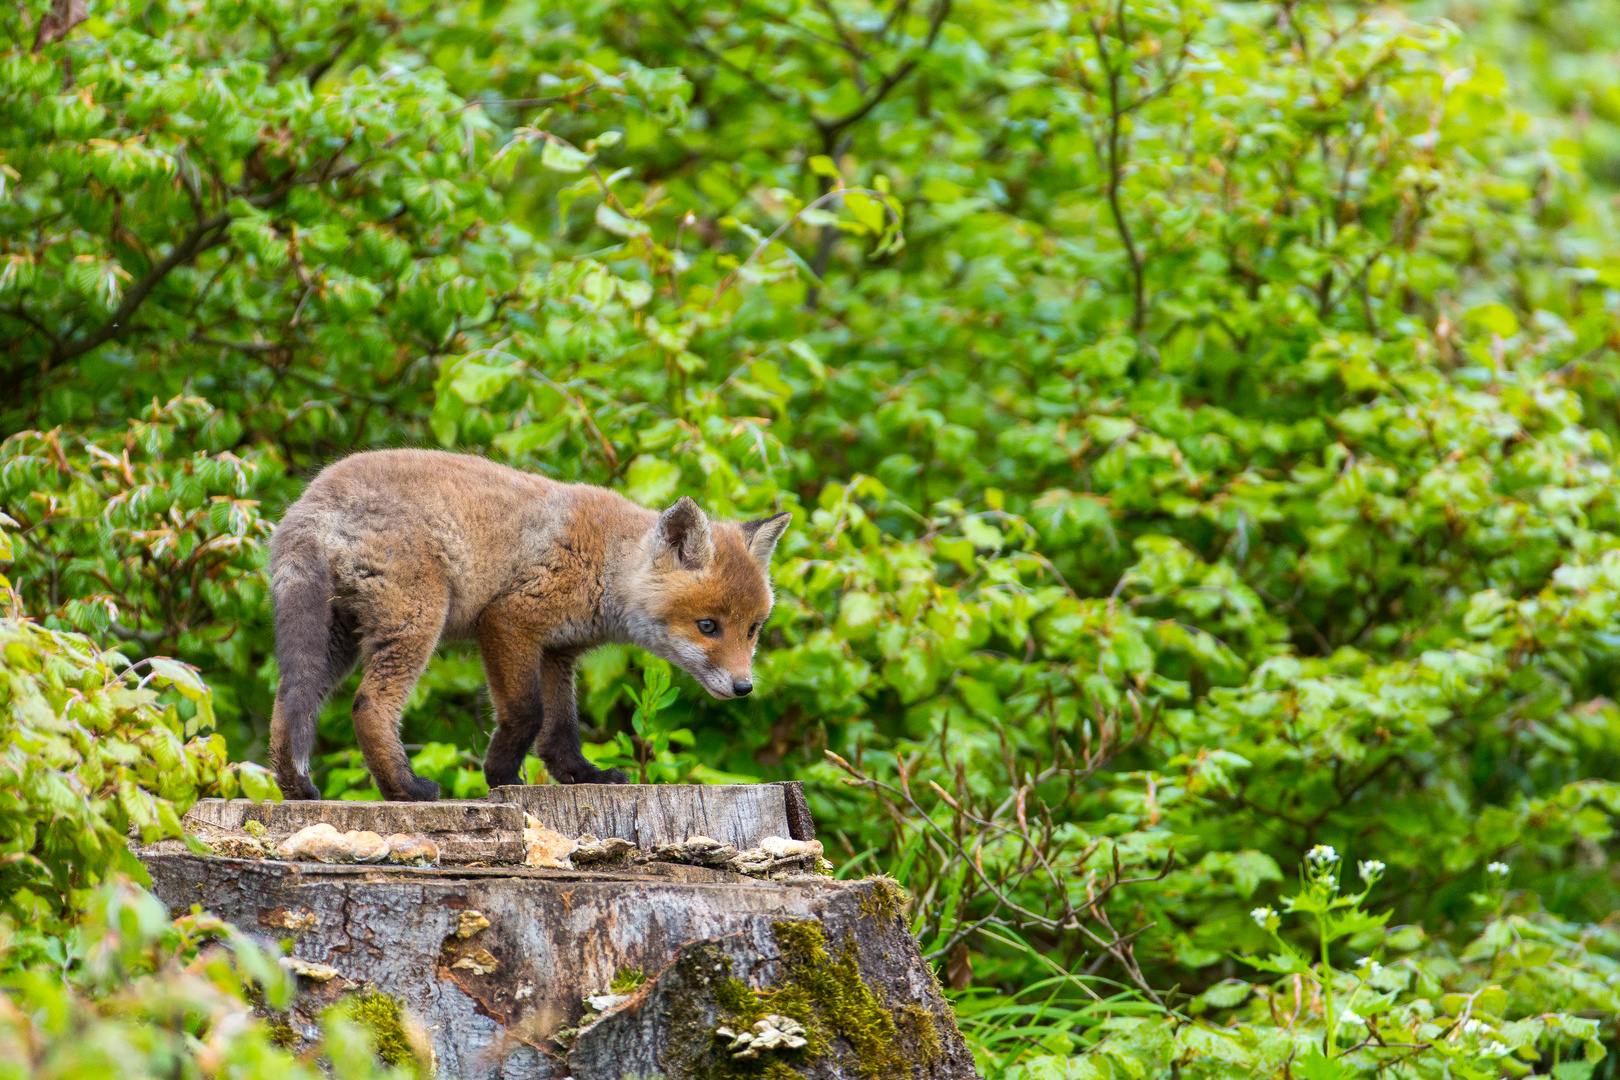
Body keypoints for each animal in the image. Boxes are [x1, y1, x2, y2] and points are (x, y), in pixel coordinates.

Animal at [268, 450, 787, 803]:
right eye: (708, 626)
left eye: (753, 630)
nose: (744, 687)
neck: (606, 566)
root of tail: (312, 501)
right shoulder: (508, 622)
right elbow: (527, 713)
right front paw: (500, 776)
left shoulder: (557, 650)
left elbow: (560, 730)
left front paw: (582, 776)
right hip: (416, 622)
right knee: (368, 705)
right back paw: (406, 788)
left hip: (334, 641)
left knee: (287, 704)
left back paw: (296, 789)